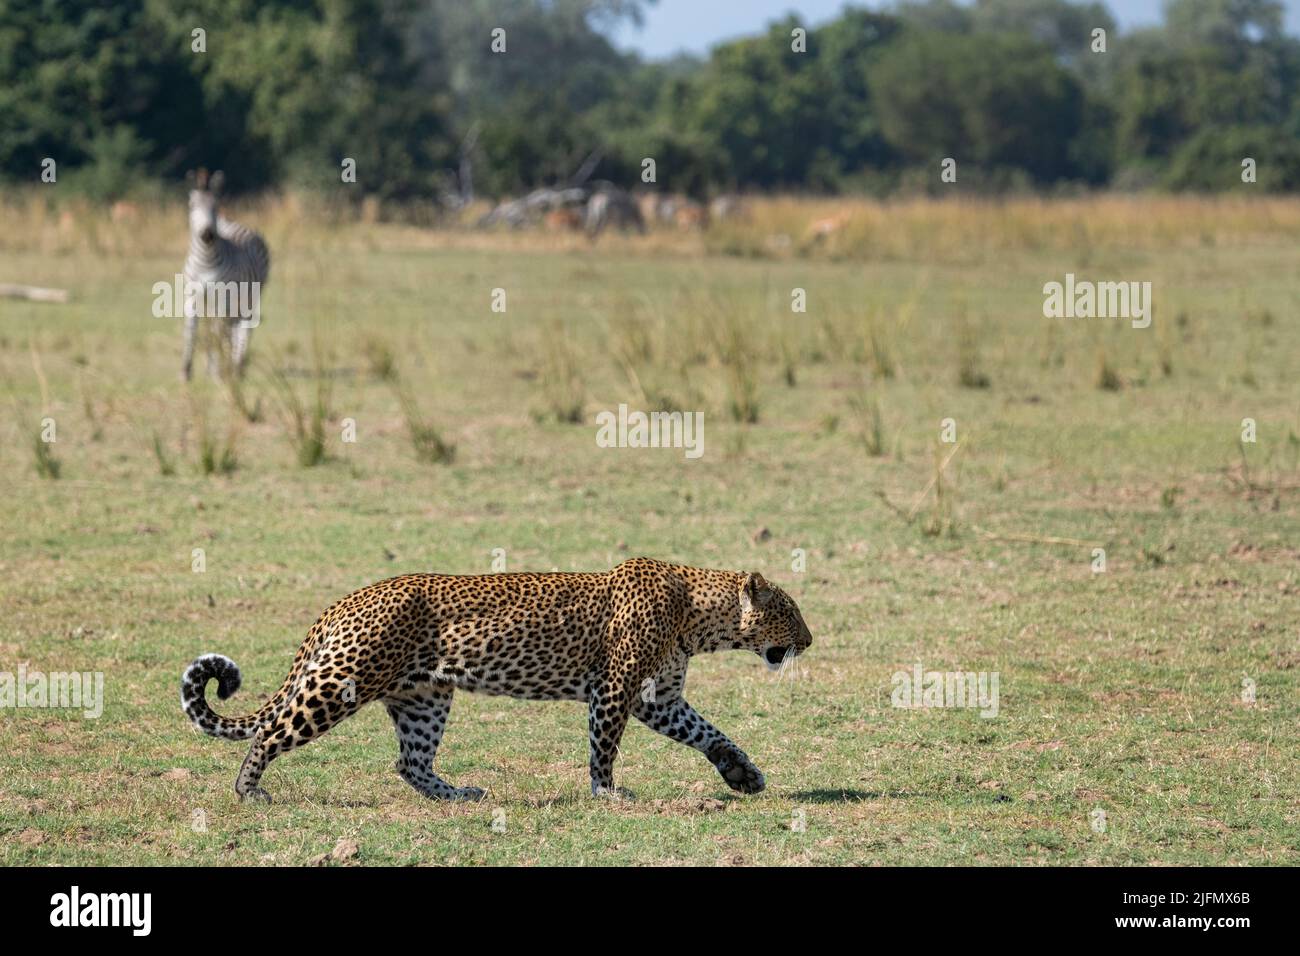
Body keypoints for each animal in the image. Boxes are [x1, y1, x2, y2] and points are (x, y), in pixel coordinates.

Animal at [180, 557, 812, 803]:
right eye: (790, 611)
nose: (808, 641)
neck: (700, 616)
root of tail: (347, 600)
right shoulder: (615, 689)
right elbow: (604, 748)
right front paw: (607, 793)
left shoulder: (659, 697)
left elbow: (708, 732)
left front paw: (742, 773)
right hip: (342, 683)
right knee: (270, 733)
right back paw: (249, 791)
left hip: (424, 697)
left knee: (410, 762)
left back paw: (458, 794)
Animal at [181, 169, 270, 381]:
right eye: (192, 206)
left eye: (215, 206)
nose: (207, 235)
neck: (205, 260)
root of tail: (230, 222)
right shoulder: (191, 298)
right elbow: (191, 332)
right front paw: (186, 372)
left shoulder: (223, 299)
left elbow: (218, 333)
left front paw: (216, 371)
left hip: (249, 297)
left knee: (243, 328)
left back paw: (236, 366)